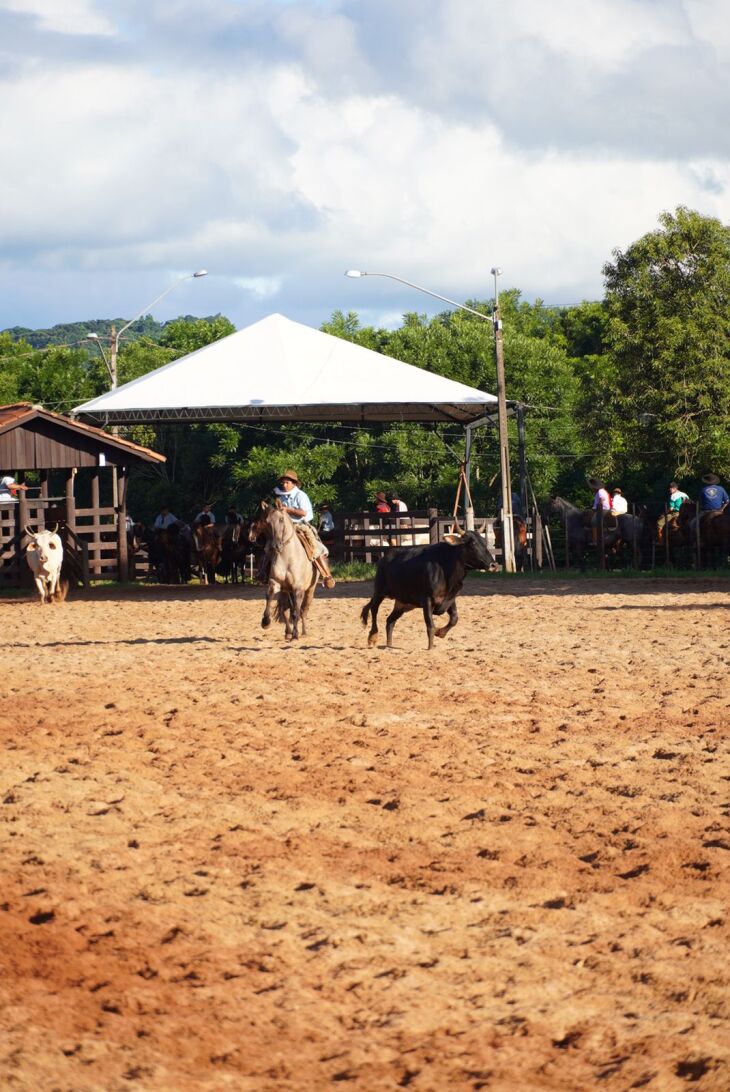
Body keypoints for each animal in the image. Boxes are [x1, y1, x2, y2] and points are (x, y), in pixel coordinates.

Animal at [249, 500, 316, 637]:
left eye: (281, 519)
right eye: (267, 521)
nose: (276, 545)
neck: (288, 558)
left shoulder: (298, 589)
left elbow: (296, 612)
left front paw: (296, 634)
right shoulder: (275, 583)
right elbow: (269, 597)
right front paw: (265, 621)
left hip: (310, 590)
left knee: (303, 610)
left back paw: (303, 631)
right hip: (285, 592)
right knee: (285, 610)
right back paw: (288, 632)